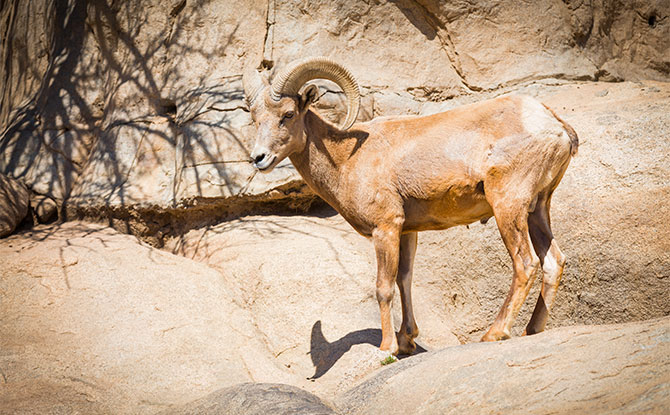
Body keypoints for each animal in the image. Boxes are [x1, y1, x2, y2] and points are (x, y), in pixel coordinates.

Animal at [244, 57, 580, 358]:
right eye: (256, 119)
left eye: (288, 114)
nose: (258, 158)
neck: (347, 159)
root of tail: (557, 128)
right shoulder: (407, 232)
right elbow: (404, 279)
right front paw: (408, 342)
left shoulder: (385, 229)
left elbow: (383, 287)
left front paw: (388, 348)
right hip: (538, 208)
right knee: (553, 261)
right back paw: (531, 331)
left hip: (508, 207)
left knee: (526, 263)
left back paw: (494, 333)